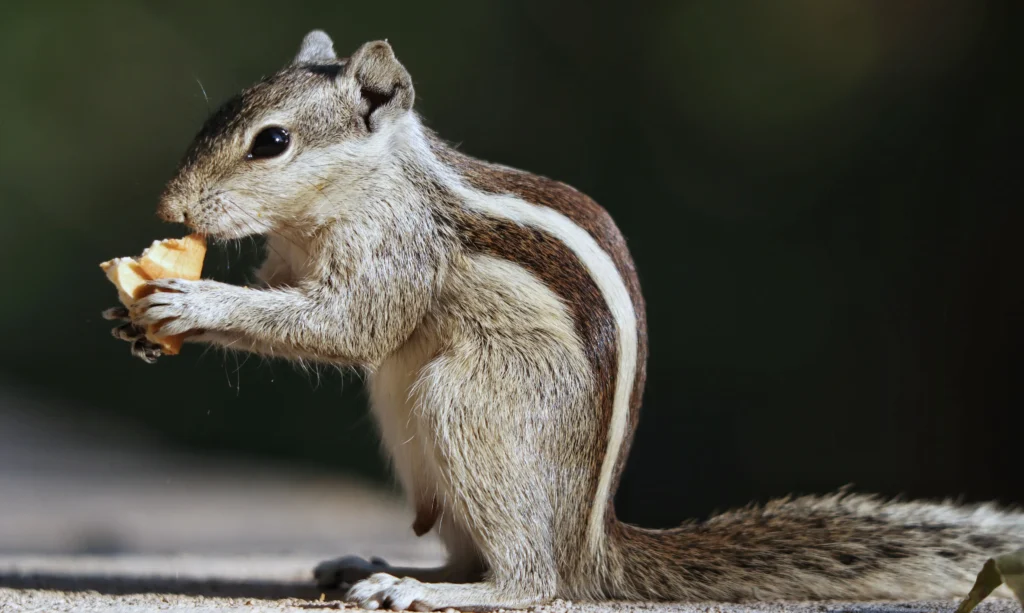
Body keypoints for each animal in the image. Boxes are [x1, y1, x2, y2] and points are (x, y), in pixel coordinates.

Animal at [105, 31, 1024, 610]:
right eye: (220, 113)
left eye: (272, 142)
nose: (169, 208)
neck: (363, 187)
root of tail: (592, 546)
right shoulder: (290, 260)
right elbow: (289, 295)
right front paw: (135, 317)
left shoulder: (398, 251)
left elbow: (349, 327)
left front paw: (192, 301)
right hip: (419, 439)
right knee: (474, 552)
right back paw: (379, 564)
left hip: (469, 407)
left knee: (529, 581)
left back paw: (426, 588)